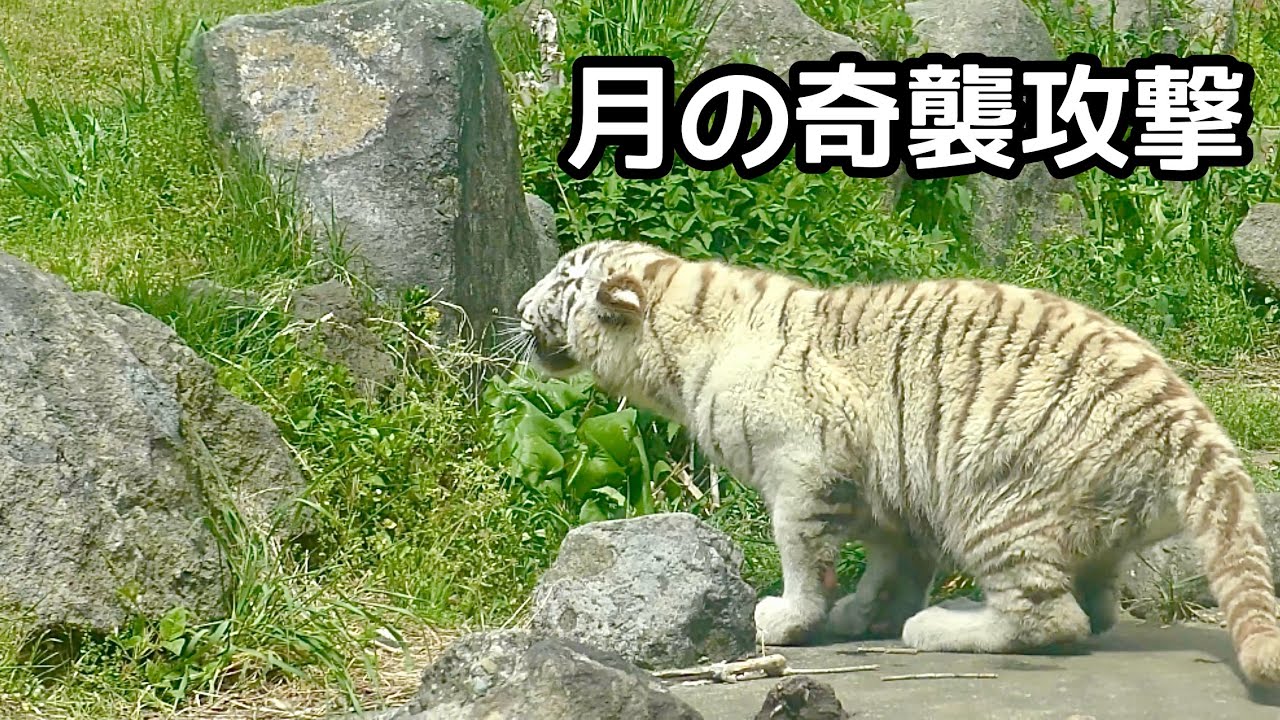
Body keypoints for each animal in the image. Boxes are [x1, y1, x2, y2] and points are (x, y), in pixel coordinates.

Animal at [514, 239, 1280, 686]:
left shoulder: (806, 467)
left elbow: (801, 554)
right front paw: (862, 611)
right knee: (1093, 609)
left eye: (561, 281)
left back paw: (942, 627)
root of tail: (1186, 415)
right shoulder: (886, 485)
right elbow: (894, 559)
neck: (687, 338)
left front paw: (789, 618)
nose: (519, 306)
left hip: (993, 497)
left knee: (1051, 619)